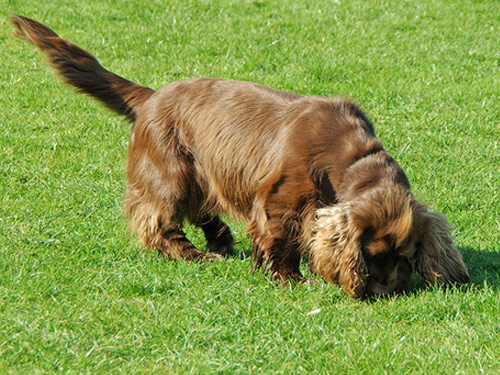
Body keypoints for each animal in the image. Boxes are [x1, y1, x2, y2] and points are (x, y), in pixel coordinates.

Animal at [11, 16, 470, 300]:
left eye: (407, 255)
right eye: (371, 255)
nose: (386, 292)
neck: (348, 157)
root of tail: (152, 96)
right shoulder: (281, 200)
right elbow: (281, 241)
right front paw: (290, 280)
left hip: (201, 177)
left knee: (204, 214)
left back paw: (221, 243)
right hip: (171, 174)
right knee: (157, 223)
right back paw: (195, 255)